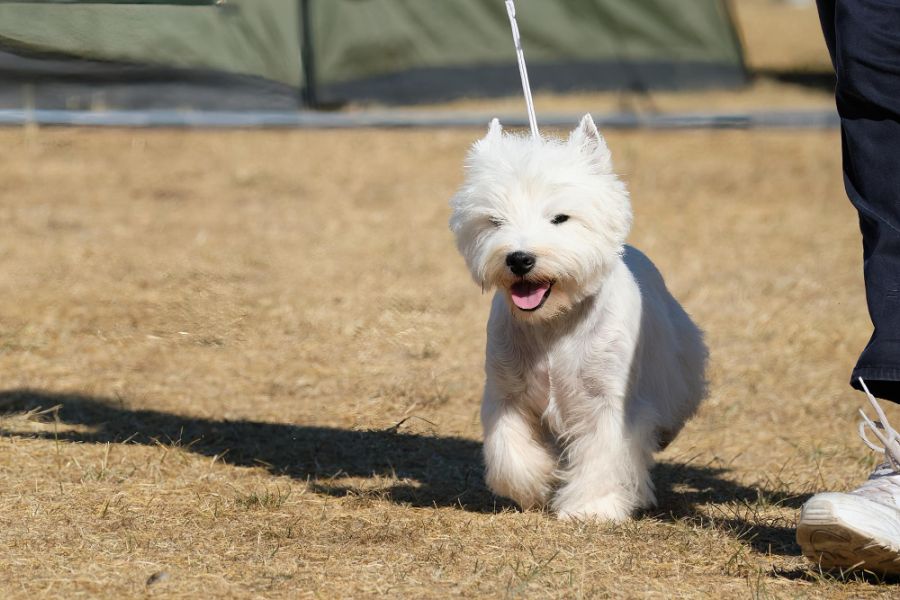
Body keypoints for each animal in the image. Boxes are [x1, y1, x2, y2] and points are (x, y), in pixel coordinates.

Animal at [450, 116, 712, 520]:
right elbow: (511, 452)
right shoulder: (506, 393)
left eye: (560, 218)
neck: (554, 323)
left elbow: (604, 455)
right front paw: (537, 484)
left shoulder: (607, 402)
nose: (519, 259)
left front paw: (592, 508)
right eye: (494, 220)